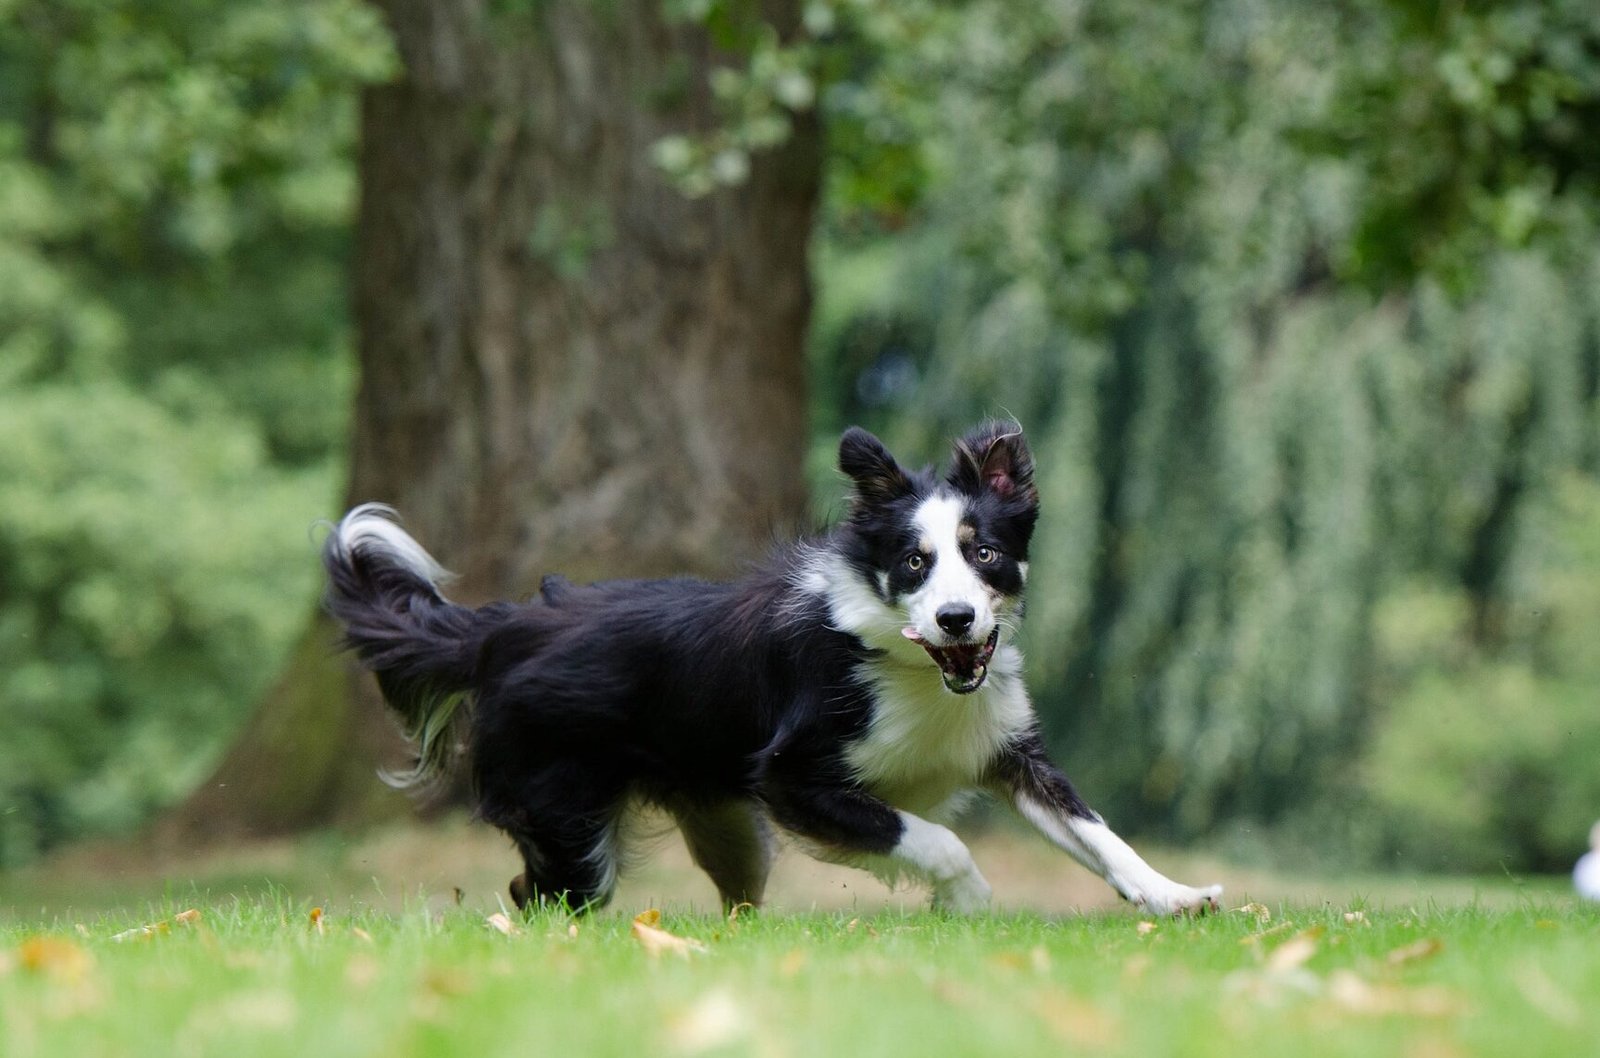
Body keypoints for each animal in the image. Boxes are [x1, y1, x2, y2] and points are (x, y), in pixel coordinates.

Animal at [324, 419, 1222, 915]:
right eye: (914, 563)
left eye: (986, 554)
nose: (957, 619)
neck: (909, 665)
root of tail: (504, 628)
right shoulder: (794, 777)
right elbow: (932, 838)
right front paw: (966, 900)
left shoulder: (1005, 748)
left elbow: (1099, 834)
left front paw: (1175, 896)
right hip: (567, 816)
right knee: (537, 896)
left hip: (726, 828)